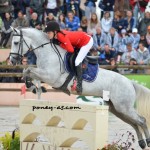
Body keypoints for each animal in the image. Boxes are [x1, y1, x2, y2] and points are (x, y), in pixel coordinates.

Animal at [10, 27, 150, 149]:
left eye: (16, 42)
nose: (11, 60)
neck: (48, 53)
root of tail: (130, 82)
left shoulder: (50, 76)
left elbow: (29, 70)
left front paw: (32, 86)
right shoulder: (43, 74)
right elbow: (27, 71)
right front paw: (32, 87)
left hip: (123, 107)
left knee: (141, 120)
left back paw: (147, 141)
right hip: (117, 109)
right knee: (134, 123)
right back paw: (142, 143)